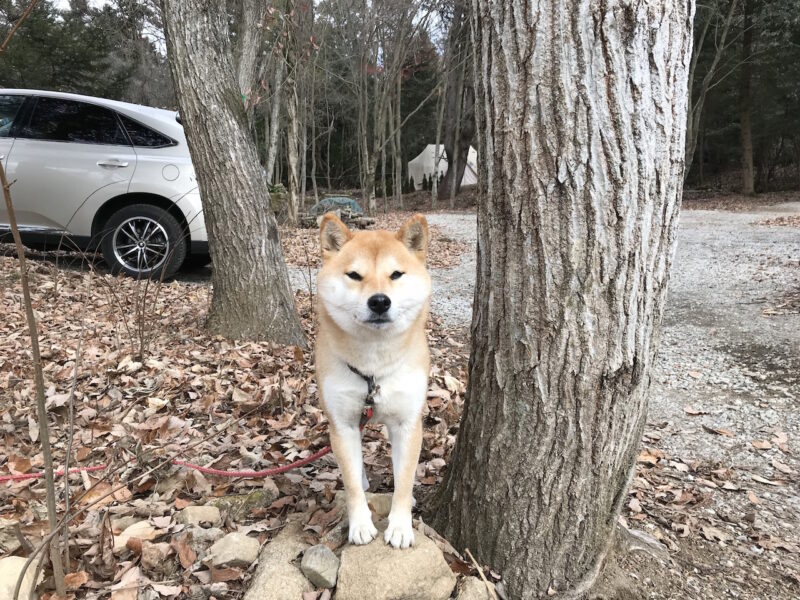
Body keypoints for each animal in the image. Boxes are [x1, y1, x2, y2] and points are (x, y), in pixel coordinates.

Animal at [314, 212, 432, 548]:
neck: (375, 367)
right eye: (354, 275)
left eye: (396, 274)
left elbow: (404, 480)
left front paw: (401, 526)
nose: (379, 301)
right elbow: (351, 482)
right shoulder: (342, 424)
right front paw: (360, 524)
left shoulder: (408, 423)